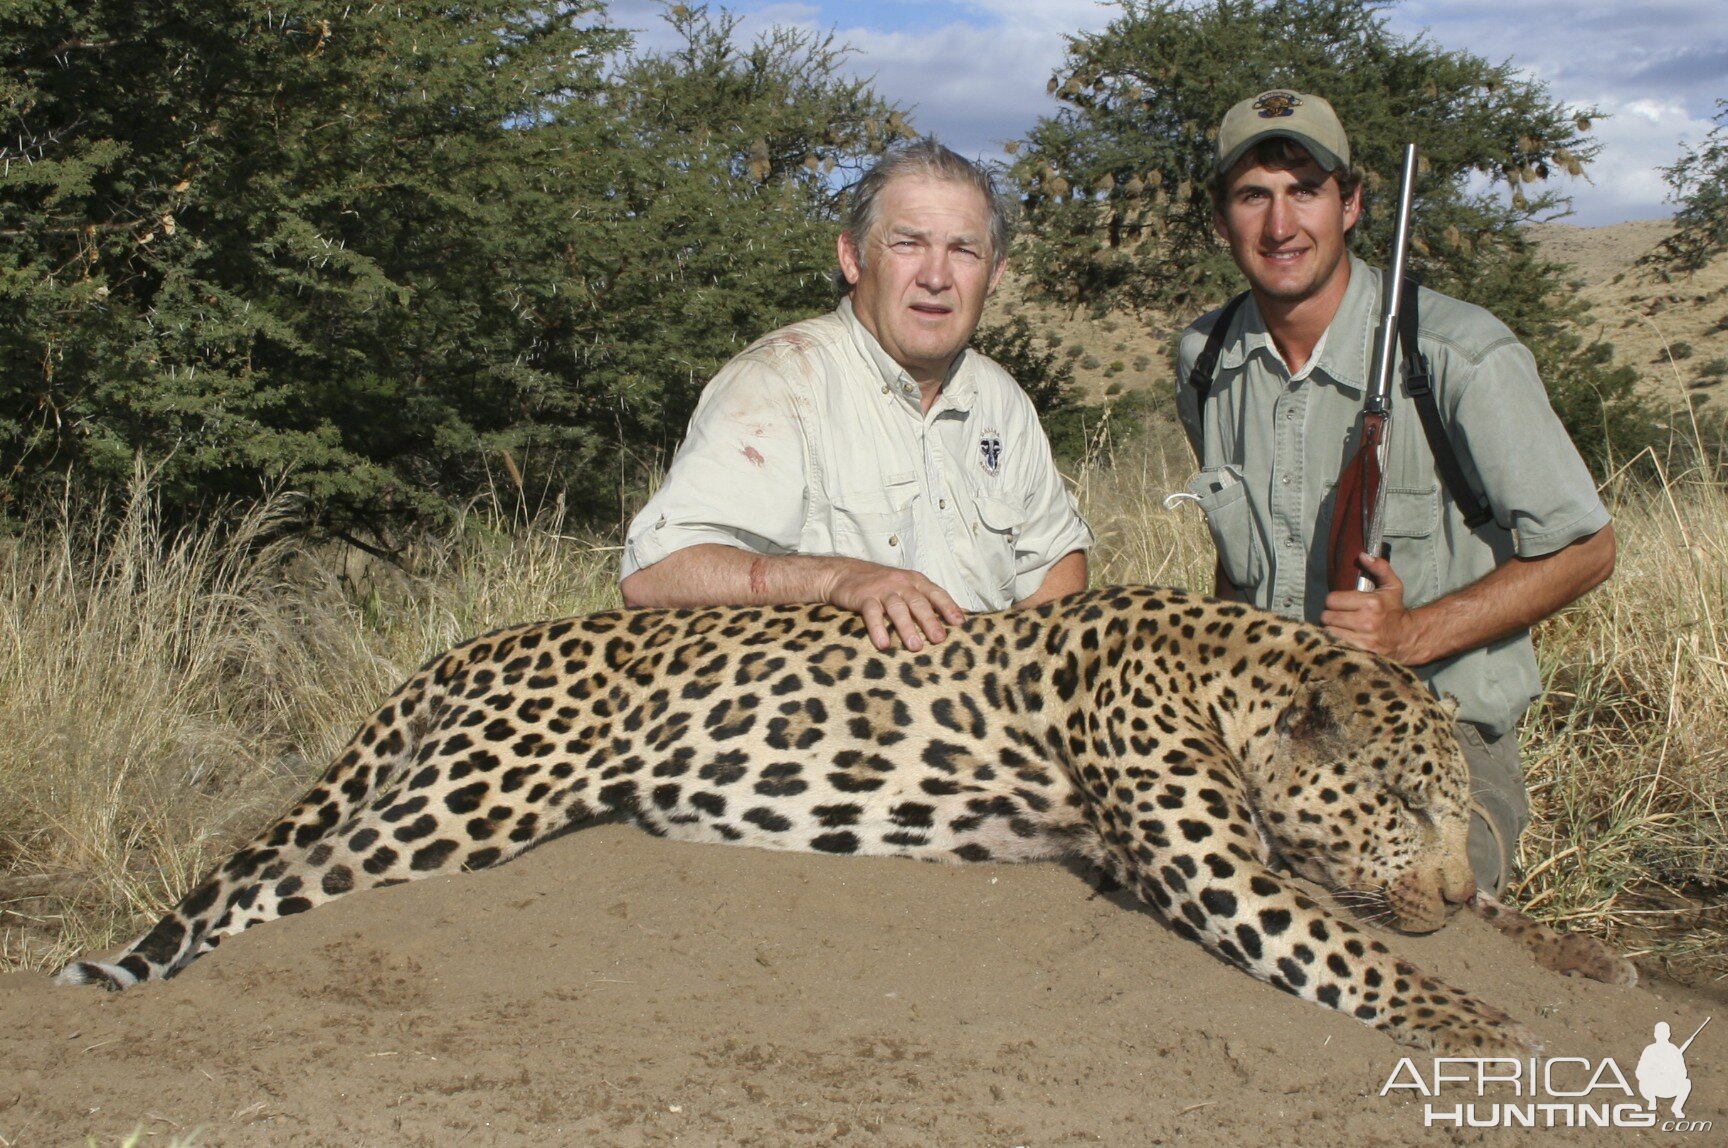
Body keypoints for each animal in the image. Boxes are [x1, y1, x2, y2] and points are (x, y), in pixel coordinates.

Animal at [57, 587, 1631, 1051]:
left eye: (1459, 807)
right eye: (1410, 801)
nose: (1462, 895)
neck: (1224, 668)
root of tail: (470, 645)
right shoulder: (1215, 869)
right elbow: (1350, 949)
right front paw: (1481, 1024)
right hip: (470, 799)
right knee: (274, 886)